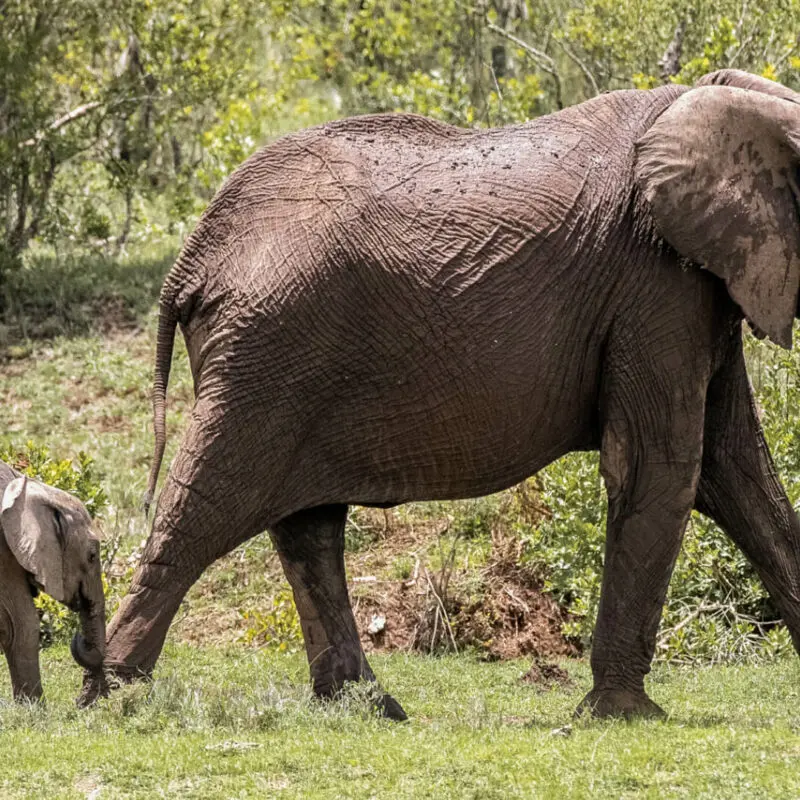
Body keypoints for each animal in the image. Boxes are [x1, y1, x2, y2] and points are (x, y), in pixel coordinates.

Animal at [84, 68, 800, 719]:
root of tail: (192, 256)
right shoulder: (655, 281)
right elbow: (663, 468)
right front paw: (624, 716)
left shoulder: (700, 285)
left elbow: (736, 472)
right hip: (265, 350)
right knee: (208, 506)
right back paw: (108, 695)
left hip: (281, 356)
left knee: (307, 528)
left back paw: (368, 710)